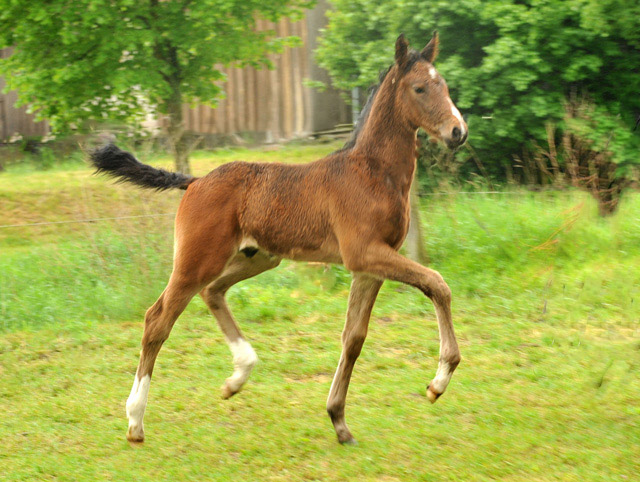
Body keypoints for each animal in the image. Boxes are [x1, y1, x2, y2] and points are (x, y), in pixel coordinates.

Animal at [90, 33, 468, 444]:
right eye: (419, 88)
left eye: (444, 85)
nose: (457, 132)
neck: (370, 172)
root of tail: (195, 181)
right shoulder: (364, 254)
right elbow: (437, 283)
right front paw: (438, 382)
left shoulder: (369, 268)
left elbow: (354, 338)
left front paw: (339, 421)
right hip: (197, 260)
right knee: (157, 319)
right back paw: (135, 421)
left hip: (257, 257)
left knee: (213, 292)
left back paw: (237, 376)